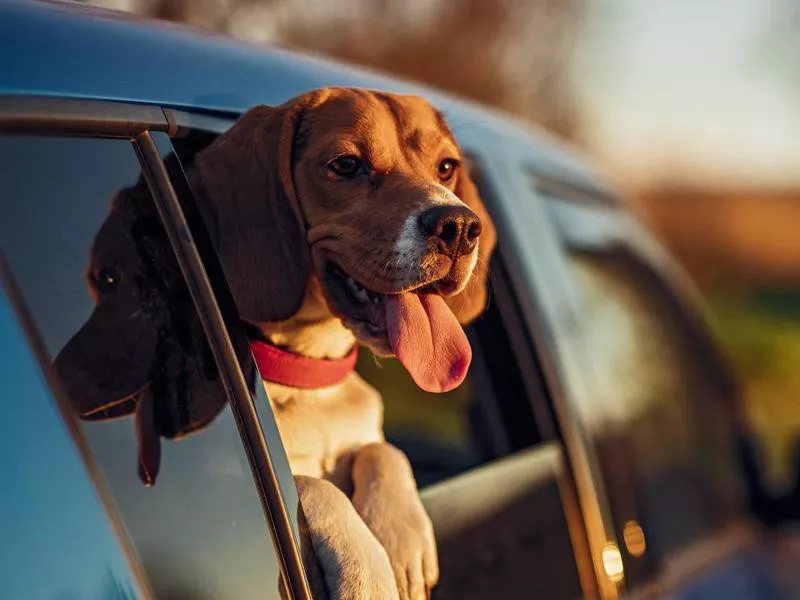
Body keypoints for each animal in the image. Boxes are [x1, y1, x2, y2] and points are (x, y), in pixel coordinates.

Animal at [54, 85, 494, 600]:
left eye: (446, 167)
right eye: (347, 165)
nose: (459, 227)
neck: (310, 374)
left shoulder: (370, 438)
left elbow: (385, 451)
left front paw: (400, 534)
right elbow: (310, 484)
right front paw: (369, 571)